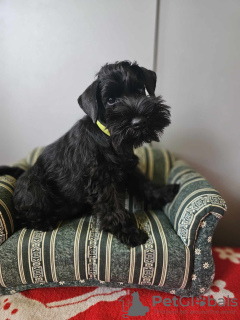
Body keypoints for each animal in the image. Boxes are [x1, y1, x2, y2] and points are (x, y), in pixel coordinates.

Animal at [1, 60, 179, 248]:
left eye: (139, 91)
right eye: (110, 100)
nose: (139, 122)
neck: (109, 136)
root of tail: (22, 174)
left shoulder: (128, 168)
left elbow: (144, 183)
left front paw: (164, 192)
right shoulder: (102, 180)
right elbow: (113, 206)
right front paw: (128, 231)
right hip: (34, 189)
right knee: (26, 216)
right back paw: (46, 221)